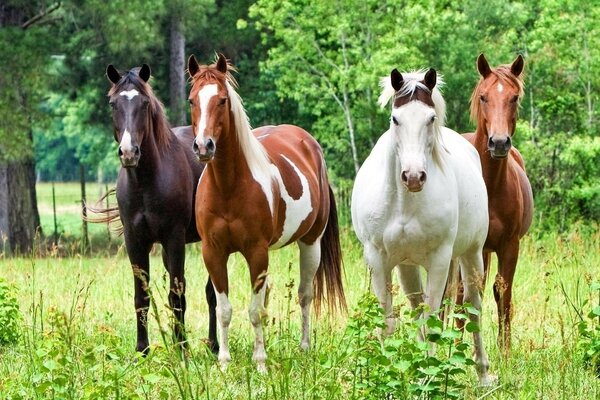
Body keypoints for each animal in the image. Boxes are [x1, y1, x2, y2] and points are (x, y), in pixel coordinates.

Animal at [101, 64, 218, 354]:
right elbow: (141, 296)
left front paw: (182, 350)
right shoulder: (135, 241)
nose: (129, 152)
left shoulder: (174, 238)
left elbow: (177, 295)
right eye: (113, 104)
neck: (146, 182)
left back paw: (213, 344)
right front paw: (142, 349)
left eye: (144, 104)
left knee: (213, 292)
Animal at [188, 53, 346, 372]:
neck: (228, 186)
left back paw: (304, 347)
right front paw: (224, 363)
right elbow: (224, 309)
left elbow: (254, 310)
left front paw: (260, 363)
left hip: (311, 243)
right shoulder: (213, 252)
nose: (203, 146)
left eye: (222, 100)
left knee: (304, 295)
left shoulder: (257, 252)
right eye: (191, 100)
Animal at [352, 68, 492, 384]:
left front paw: (428, 375)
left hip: (471, 254)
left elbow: (433, 318)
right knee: (417, 309)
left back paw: (483, 374)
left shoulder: (440, 260)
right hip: (407, 266)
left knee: (473, 308)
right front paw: (389, 374)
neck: (404, 203)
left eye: (431, 118)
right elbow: (390, 320)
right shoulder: (377, 259)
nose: (413, 176)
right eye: (395, 118)